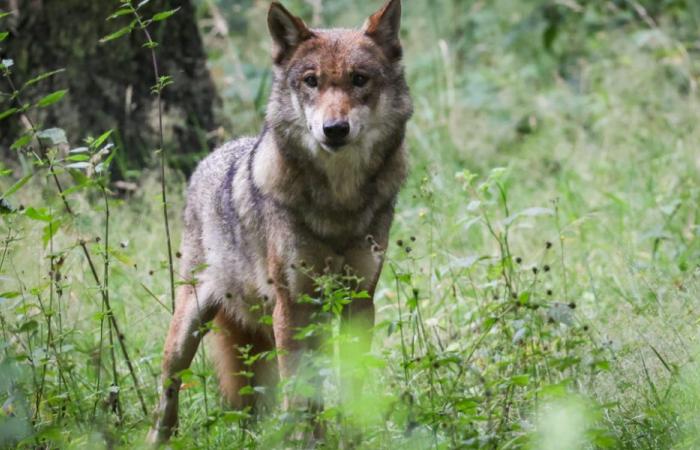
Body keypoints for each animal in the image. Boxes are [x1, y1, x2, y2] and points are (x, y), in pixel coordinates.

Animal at [147, 0, 410, 442]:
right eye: (311, 81)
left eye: (359, 80)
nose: (334, 129)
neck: (338, 203)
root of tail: (210, 156)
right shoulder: (292, 305)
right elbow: (298, 392)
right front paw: (304, 442)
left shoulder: (359, 301)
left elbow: (351, 386)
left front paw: (352, 438)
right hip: (189, 327)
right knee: (168, 390)